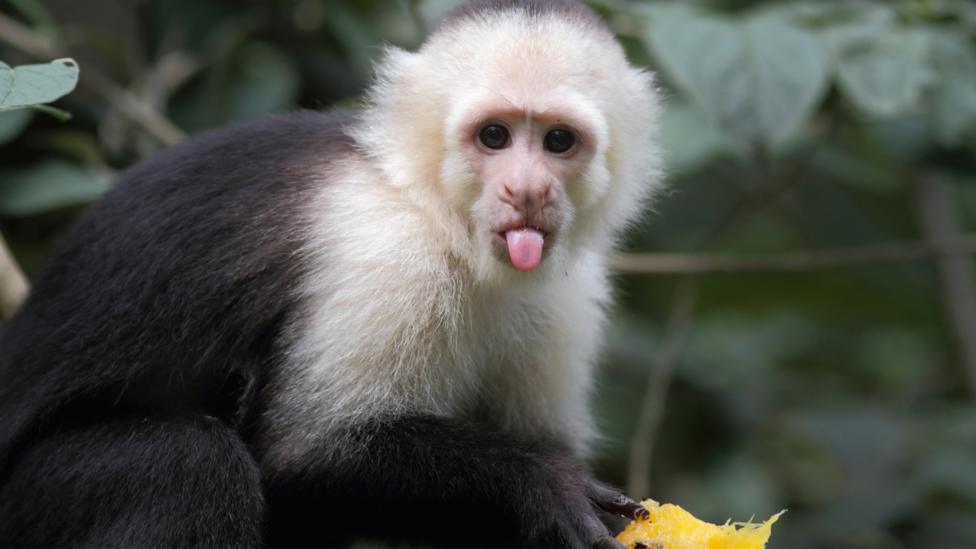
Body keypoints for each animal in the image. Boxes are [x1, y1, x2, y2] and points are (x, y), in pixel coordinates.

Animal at [0, 0, 662, 547]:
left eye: (558, 141)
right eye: (494, 136)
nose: (525, 191)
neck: (441, 220)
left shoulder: (570, 294)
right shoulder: (386, 252)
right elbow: (305, 456)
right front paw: (542, 477)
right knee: (186, 465)